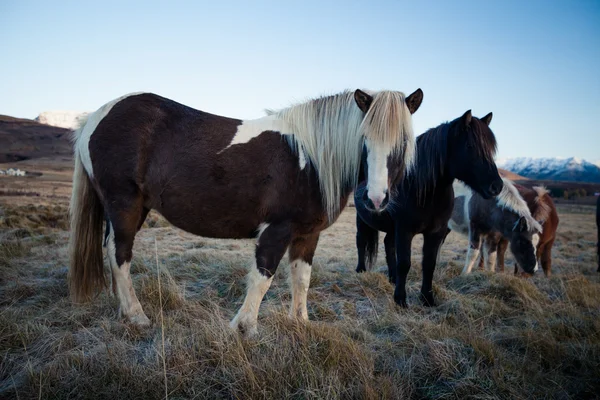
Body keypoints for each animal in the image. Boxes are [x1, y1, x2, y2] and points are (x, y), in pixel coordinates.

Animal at [67, 89, 422, 336]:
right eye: (364, 139)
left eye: (404, 143)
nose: (376, 198)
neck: (310, 158)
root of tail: (96, 117)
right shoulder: (277, 229)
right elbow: (263, 278)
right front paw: (244, 327)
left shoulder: (307, 235)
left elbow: (302, 279)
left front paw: (301, 324)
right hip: (124, 205)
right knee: (119, 256)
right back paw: (137, 316)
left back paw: (124, 313)